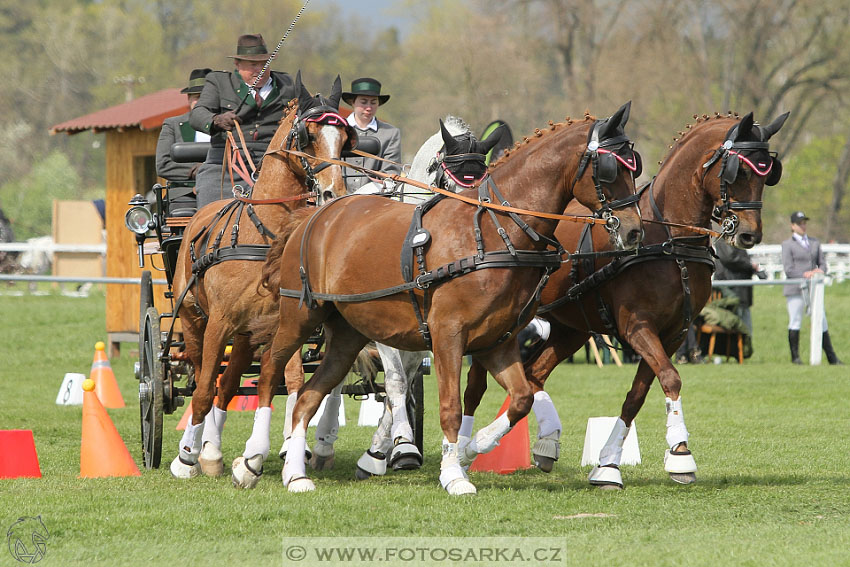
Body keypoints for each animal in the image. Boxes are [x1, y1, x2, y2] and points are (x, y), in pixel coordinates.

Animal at [167, 75, 352, 482]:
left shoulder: (281, 322)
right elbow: (202, 391)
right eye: (308, 136)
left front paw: (272, 453)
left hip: (245, 334)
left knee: (228, 385)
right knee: (205, 379)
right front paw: (186, 458)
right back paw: (196, 450)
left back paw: (212, 451)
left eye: (346, 138)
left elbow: (283, 382)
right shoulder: (219, 322)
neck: (266, 236)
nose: (333, 193)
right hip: (194, 320)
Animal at [235, 104, 640, 494]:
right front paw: (452, 474)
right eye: (608, 169)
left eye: (634, 165)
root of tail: (313, 214)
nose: (634, 230)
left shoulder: (497, 341)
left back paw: (297, 474)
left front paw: (470, 449)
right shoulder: (447, 336)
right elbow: (443, 405)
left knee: (308, 397)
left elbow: (521, 398)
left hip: (347, 335)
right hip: (300, 317)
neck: (490, 233)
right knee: (272, 372)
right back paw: (253, 458)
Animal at [458, 110, 788, 488]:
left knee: (533, 375)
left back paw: (547, 442)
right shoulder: (637, 326)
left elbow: (638, 395)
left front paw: (609, 464)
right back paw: (464, 451)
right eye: (739, 171)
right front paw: (681, 454)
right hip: (498, 327)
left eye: (768, 173)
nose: (749, 234)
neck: (670, 241)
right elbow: (671, 378)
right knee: (475, 387)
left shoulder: (672, 334)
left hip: (571, 328)